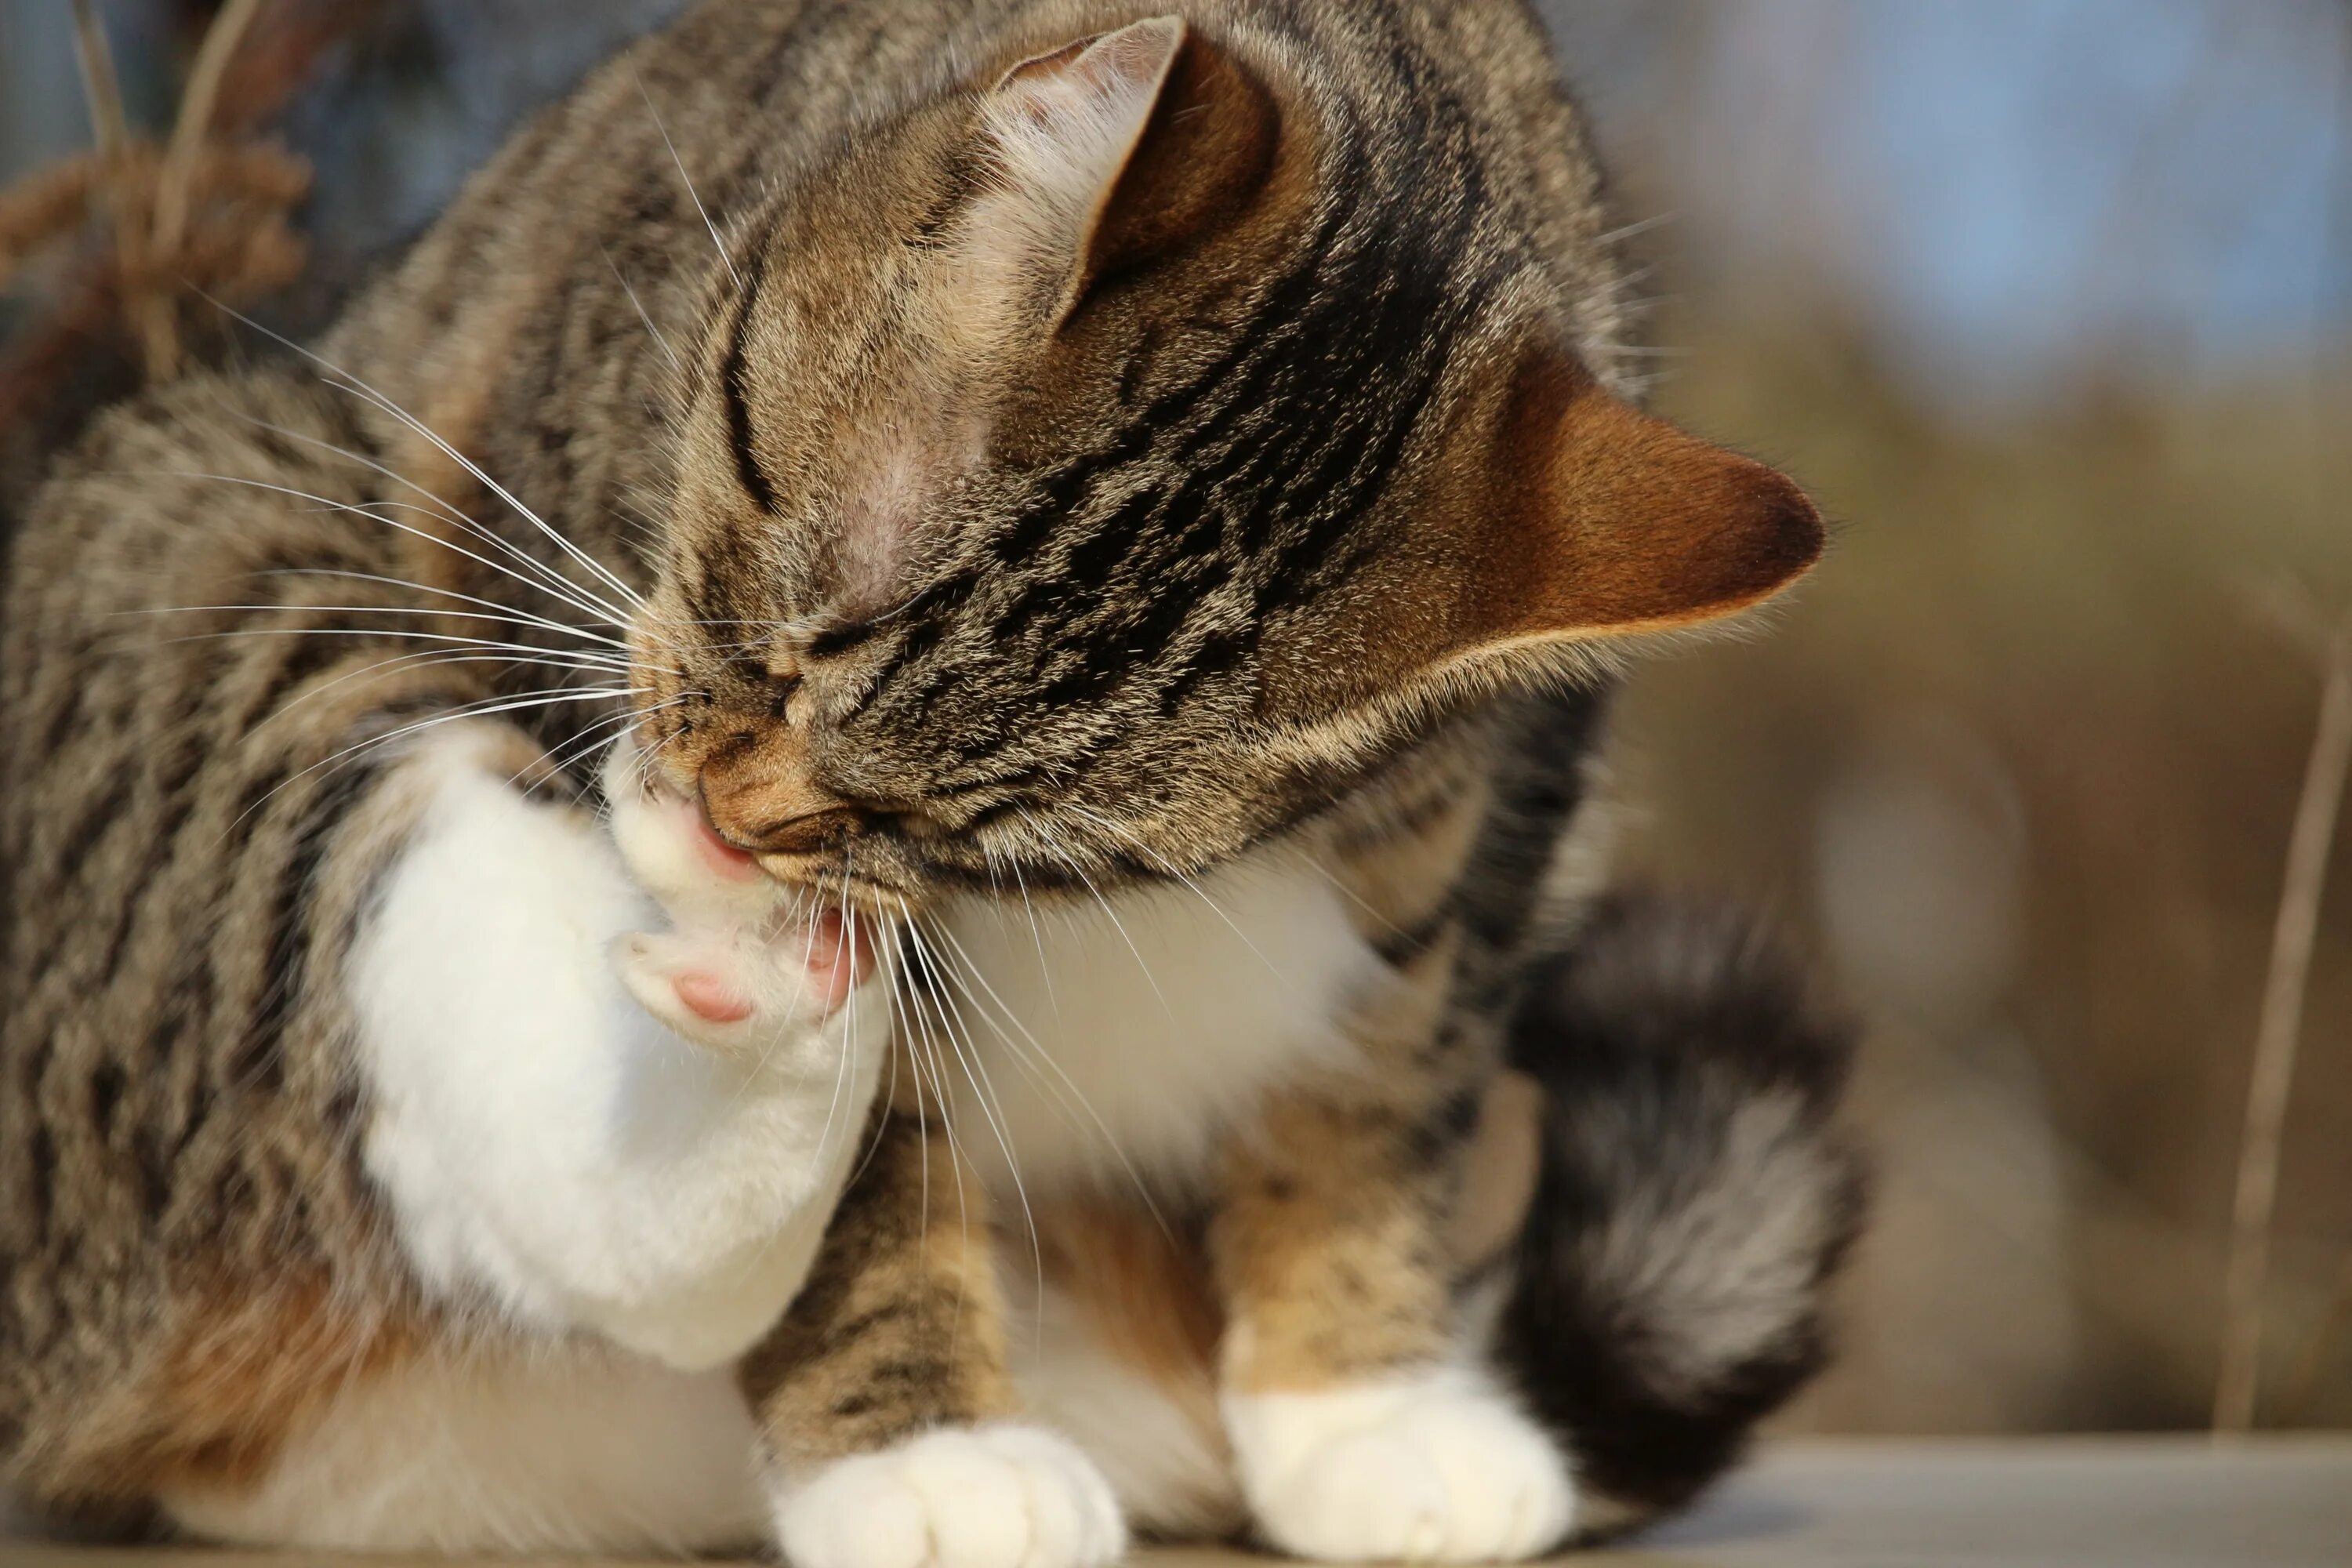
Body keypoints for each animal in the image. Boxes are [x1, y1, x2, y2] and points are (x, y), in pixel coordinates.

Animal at [4, 0, 1872, 1561]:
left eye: (989, 833)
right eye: (779, 609)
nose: (731, 820)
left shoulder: (1493, 798)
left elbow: (1386, 1076)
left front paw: (1367, 1409)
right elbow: (881, 1178)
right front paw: (921, 1453)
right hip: (193, 548)